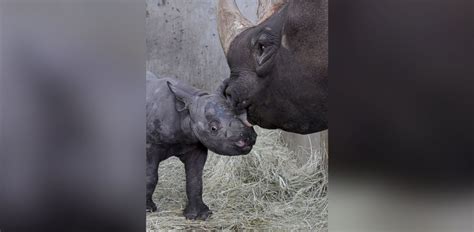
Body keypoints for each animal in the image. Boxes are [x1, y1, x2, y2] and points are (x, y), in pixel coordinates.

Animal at [146, 73, 258, 220]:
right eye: (213, 128)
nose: (248, 139)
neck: (185, 114)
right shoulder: (151, 145)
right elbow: (151, 177)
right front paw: (148, 209)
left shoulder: (195, 145)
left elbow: (195, 179)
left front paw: (200, 215)